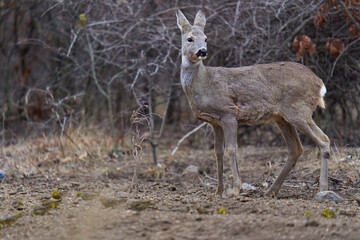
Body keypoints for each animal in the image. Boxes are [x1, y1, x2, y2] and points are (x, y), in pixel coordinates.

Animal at [176, 9, 330, 197]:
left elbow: (231, 149)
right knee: (296, 148)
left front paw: (235, 188)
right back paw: (271, 190)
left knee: (323, 140)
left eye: (205, 38)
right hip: (283, 117)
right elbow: (217, 152)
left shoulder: (228, 112)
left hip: (298, 110)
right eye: (189, 38)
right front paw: (218, 191)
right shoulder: (214, 122)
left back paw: (322, 189)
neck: (203, 83)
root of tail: (319, 83)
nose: (203, 51)